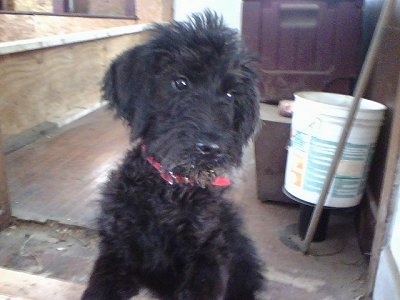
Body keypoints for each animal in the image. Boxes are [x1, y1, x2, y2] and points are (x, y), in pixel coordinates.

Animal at [82, 11, 264, 300]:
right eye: (180, 82)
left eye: (230, 93)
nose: (212, 148)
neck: (171, 190)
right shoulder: (117, 251)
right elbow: (100, 287)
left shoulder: (209, 253)